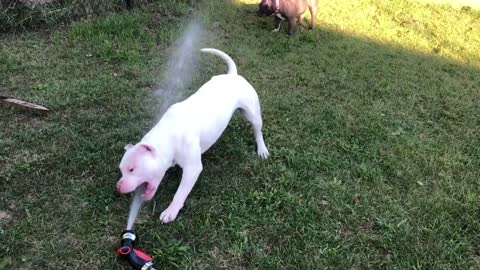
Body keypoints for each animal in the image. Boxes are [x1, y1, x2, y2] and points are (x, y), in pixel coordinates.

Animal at [115, 48, 268, 224]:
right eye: (121, 170)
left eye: (132, 169)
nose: (118, 187)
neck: (168, 136)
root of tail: (232, 75)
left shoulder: (192, 170)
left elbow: (180, 193)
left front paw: (171, 211)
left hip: (253, 114)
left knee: (257, 131)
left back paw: (262, 149)